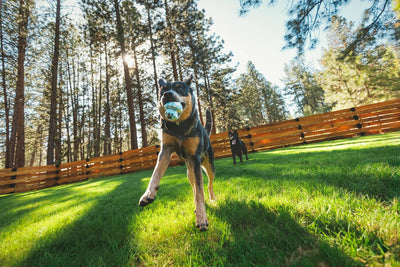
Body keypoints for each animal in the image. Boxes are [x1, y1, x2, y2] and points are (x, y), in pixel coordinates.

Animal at [140, 76, 216, 232]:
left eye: (179, 88)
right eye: (162, 90)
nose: (167, 94)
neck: (179, 127)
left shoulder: (195, 158)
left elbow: (200, 190)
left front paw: (202, 218)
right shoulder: (165, 151)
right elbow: (155, 174)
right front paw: (148, 194)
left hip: (208, 166)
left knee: (208, 184)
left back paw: (212, 199)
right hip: (189, 172)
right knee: (193, 186)